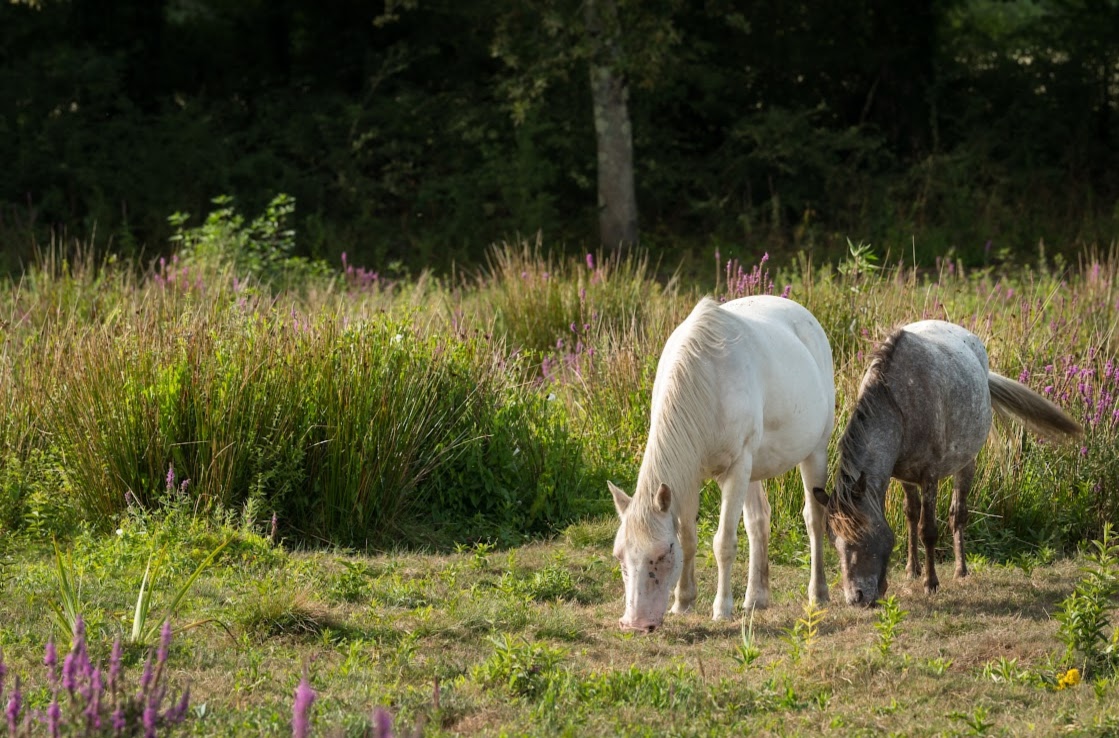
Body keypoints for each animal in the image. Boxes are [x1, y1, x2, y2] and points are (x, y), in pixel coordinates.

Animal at [608, 297, 837, 630]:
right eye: (620, 556)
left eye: (662, 555)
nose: (635, 623)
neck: (704, 379)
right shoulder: (690, 474)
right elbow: (689, 537)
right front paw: (683, 601)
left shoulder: (737, 467)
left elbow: (723, 543)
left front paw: (721, 608)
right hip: (754, 469)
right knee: (758, 522)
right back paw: (756, 598)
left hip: (814, 452)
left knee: (814, 519)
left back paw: (818, 594)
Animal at [814, 322, 1083, 603]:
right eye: (833, 541)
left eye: (863, 537)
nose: (855, 598)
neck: (898, 404)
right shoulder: (901, 474)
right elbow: (910, 517)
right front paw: (911, 570)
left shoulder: (929, 475)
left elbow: (928, 530)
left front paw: (930, 582)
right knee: (917, 514)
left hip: (966, 463)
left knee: (958, 514)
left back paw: (961, 570)